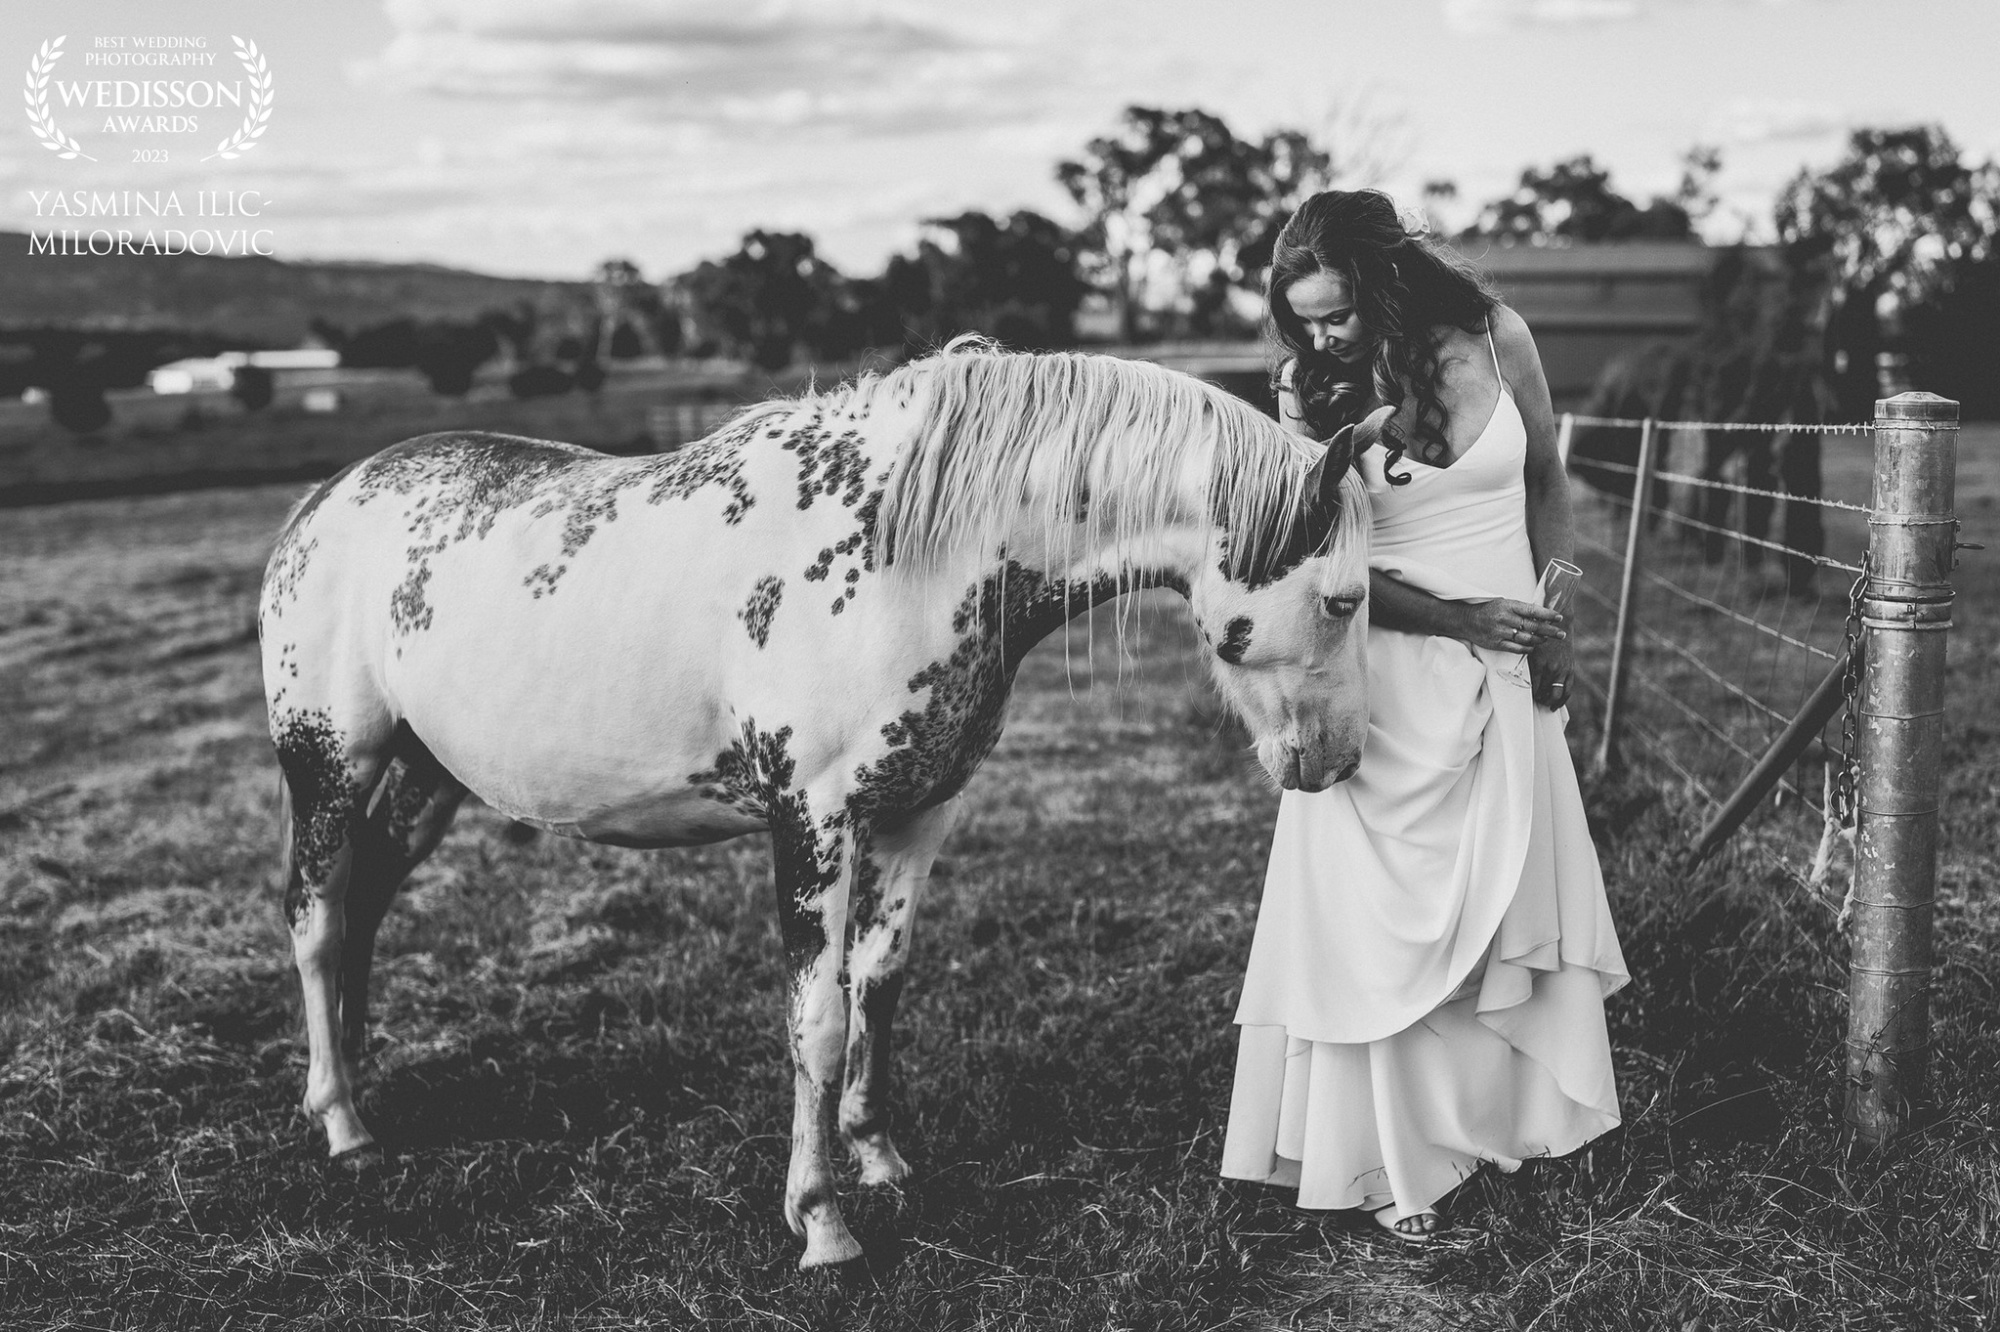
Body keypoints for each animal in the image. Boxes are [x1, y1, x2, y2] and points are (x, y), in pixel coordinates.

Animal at [257, 342, 1373, 1268]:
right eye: (1345, 598)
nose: (1336, 759)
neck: (907, 554)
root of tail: (325, 501)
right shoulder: (813, 822)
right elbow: (818, 1021)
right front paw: (822, 1221)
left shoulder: (917, 813)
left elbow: (879, 981)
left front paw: (878, 1156)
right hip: (330, 765)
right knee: (317, 922)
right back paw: (342, 1123)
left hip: (424, 779)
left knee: (365, 905)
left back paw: (361, 1077)